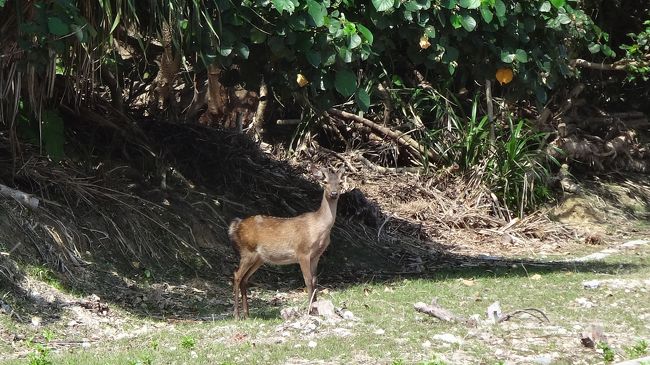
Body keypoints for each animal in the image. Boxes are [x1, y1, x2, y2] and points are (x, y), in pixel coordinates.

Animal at [228, 164, 344, 318]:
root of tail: (235, 226)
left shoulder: (316, 256)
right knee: (237, 275)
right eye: (325, 182)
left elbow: (315, 281)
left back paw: (247, 314)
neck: (318, 229)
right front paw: (310, 311)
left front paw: (315, 309)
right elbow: (308, 281)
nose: (334, 193)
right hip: (247, 250)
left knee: (245, 279)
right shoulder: (303, 252)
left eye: (340, 182)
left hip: (259, 258)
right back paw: (236, 314)